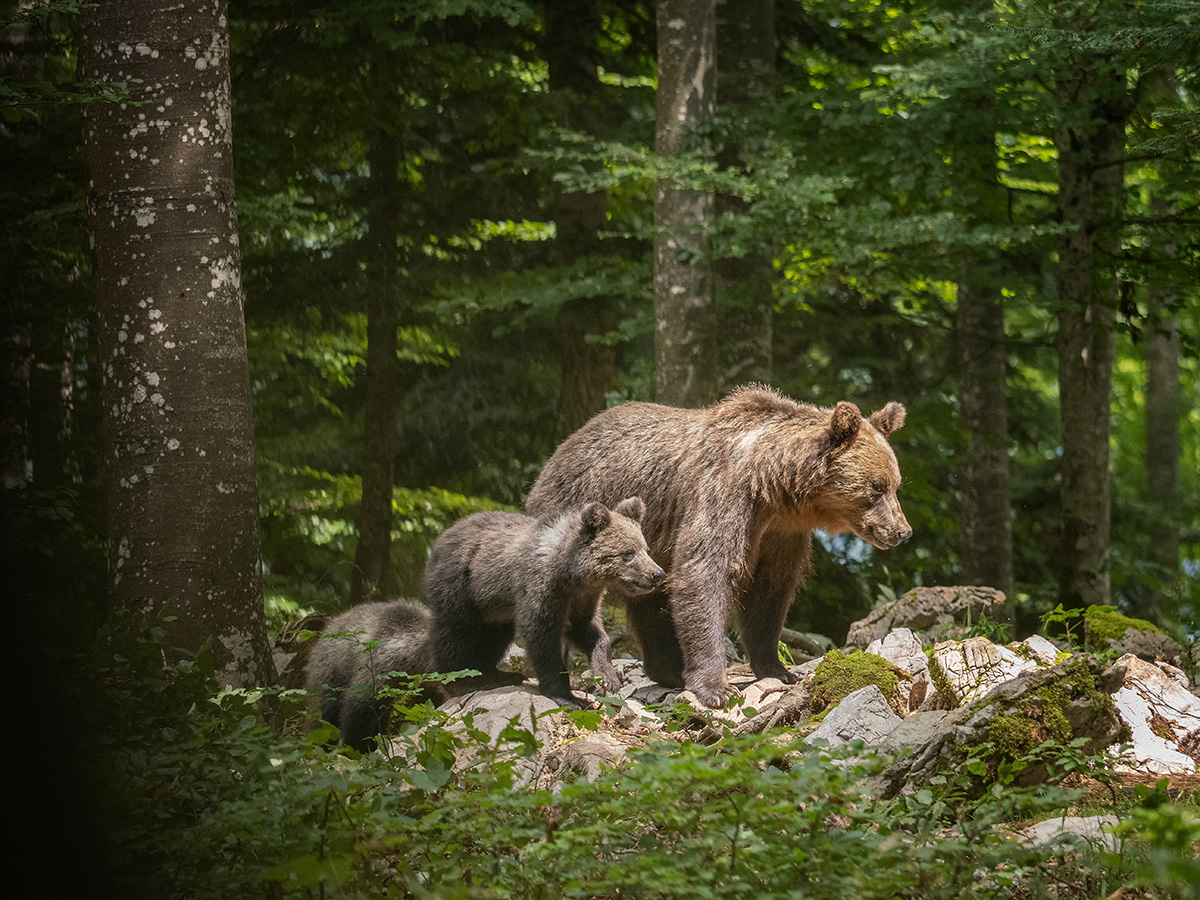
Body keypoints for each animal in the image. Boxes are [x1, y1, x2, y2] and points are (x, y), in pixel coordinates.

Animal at [525, 388, 907, 710]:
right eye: (877, 487)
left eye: (896, 484)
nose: (902, 531)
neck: (774, 488)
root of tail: (560, 449)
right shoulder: (725, 496)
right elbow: (704, 574)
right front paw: (716, 688)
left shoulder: (780, 534)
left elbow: (769, 595)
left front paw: (778, 669)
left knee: (653, 601)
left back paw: (668, 668)